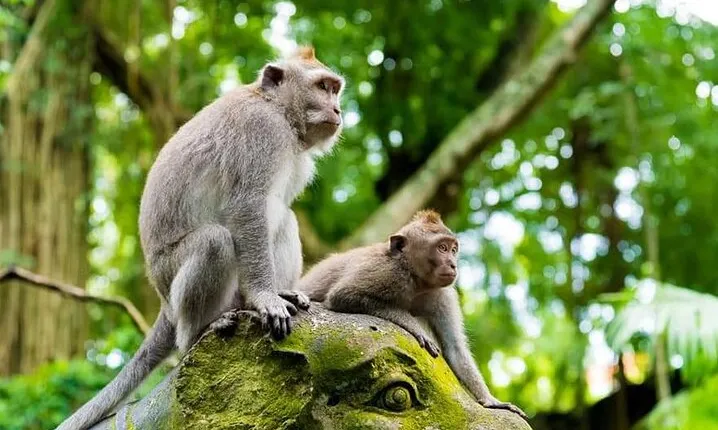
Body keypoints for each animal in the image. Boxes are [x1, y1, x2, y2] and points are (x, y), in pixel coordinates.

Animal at [57, 47, 344, 430]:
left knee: (284, 219)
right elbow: (247, 206)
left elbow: (271, 213)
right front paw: (265, 297)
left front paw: (275, 293)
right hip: (171, 276)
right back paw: (198, 332)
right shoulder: (261, 132)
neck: (277, 110)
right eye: (323, 87)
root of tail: (164, 303)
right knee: (215, 241)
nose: (338, 110)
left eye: (335, 89)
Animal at [297, 210, 528, 420]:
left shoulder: (443, 295)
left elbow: (454, 348)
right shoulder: (385, 271)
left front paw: (491, 401)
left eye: (454, 249)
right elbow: (343, 295)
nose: (453, 264)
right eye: (442, 248)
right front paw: (416, 328)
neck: (416, 280)